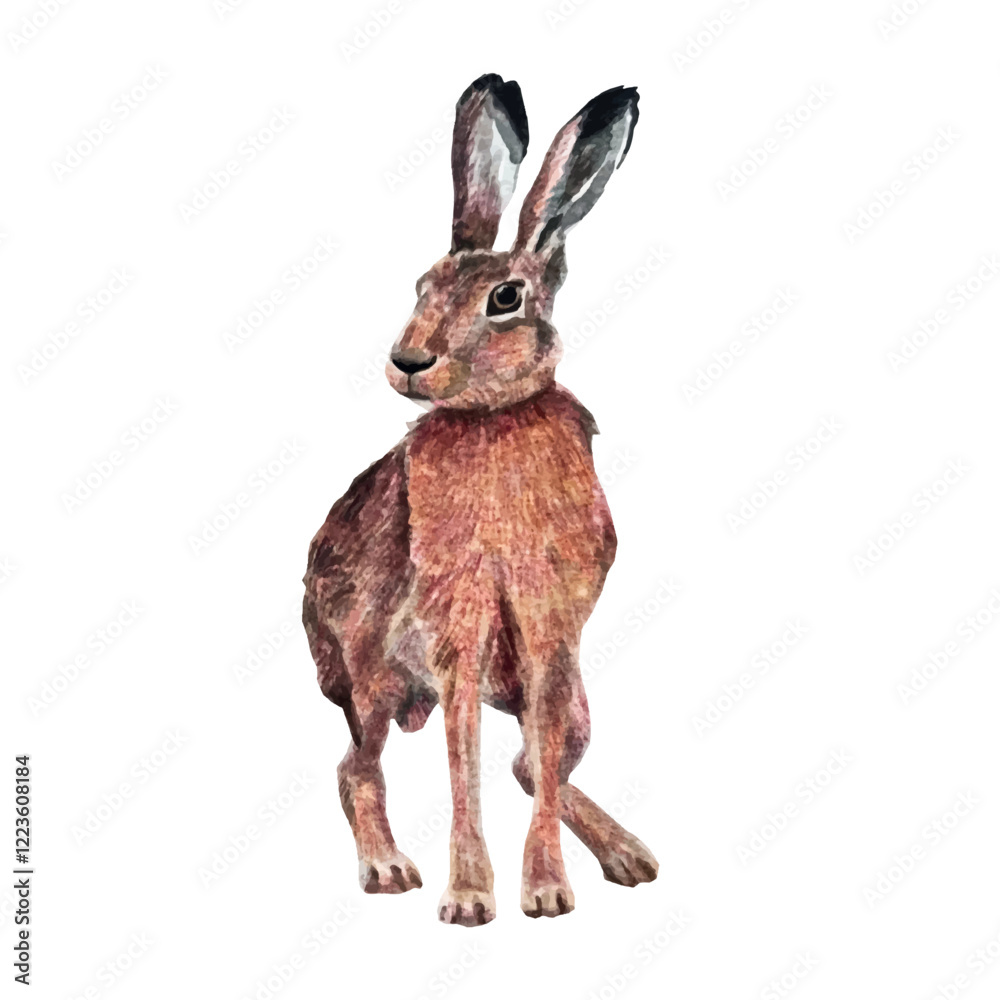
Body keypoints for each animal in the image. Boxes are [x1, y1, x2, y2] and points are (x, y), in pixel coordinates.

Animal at [303, 74, 657, 925]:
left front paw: (547, 893)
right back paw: (388, 869)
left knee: (535, 763)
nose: (408, 361)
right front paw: (468, 898)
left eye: (505, 298)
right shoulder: (456, 628)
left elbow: (537, 763)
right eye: (422, 285)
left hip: (568, 697)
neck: (495, 416)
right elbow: (462, 761)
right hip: (371, 678)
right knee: (357, 767)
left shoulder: (551, 630)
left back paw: (631, 857)